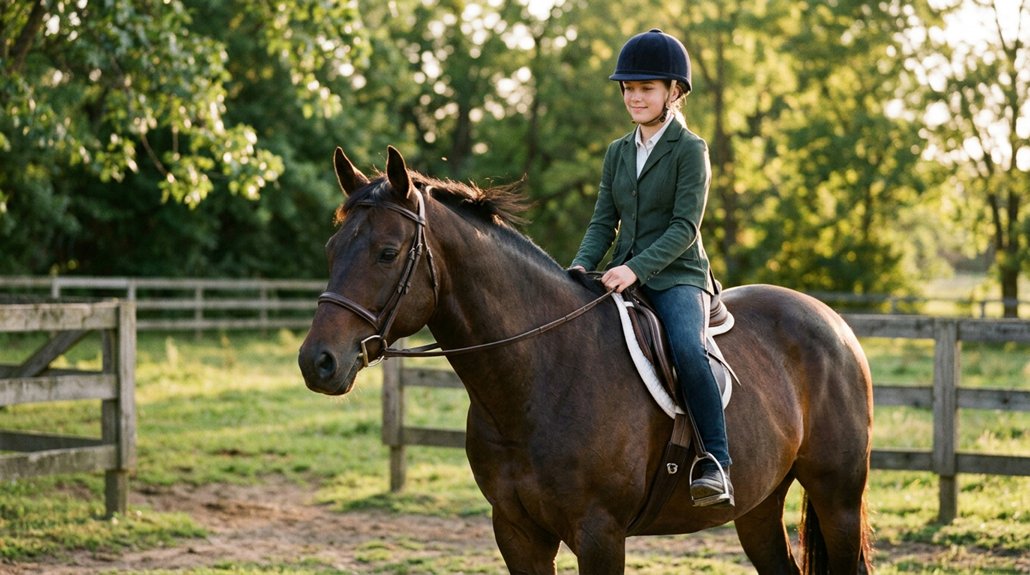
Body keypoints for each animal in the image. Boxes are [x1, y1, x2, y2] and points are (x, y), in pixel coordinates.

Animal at [298, 146, 874, 574]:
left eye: (387, 253)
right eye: (330, 249)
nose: (317, 362)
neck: (538, 377)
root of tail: (836, 324)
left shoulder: (599, 534)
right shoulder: (516, 532)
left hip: (838, 500)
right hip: (758, 505)